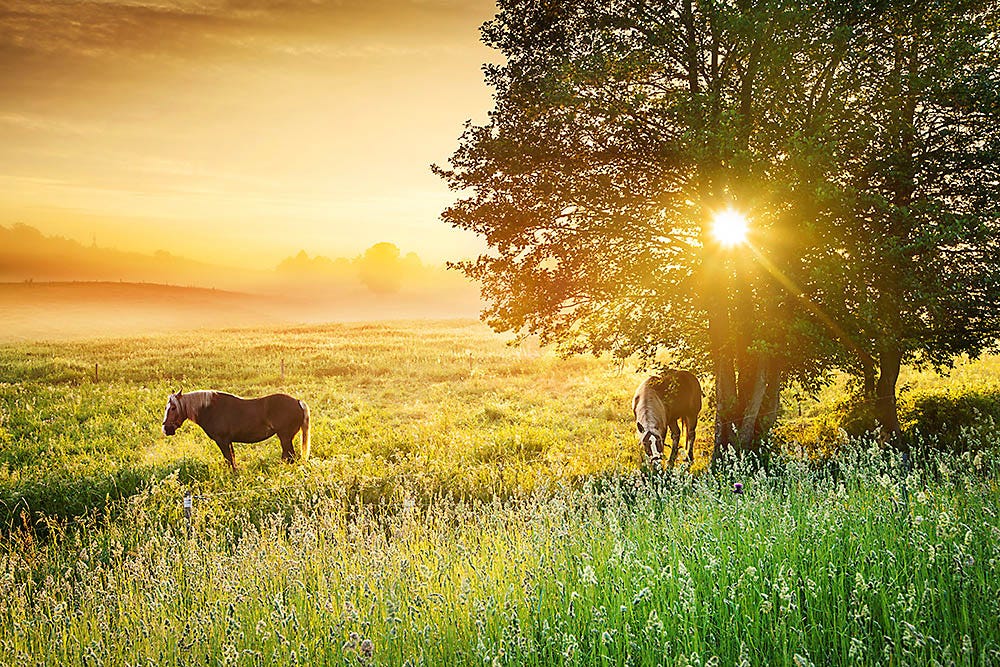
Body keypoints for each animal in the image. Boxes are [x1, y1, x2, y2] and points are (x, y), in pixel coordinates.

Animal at [162, 388, 310, 472]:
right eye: (166, 407)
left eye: (173, 408)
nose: (166, 429)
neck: (210, 409)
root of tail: (298, 401)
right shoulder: (228, 441)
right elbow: (232, 458)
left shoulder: (222, 441)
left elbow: (228, 459)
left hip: (285, 437)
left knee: (290, 457)